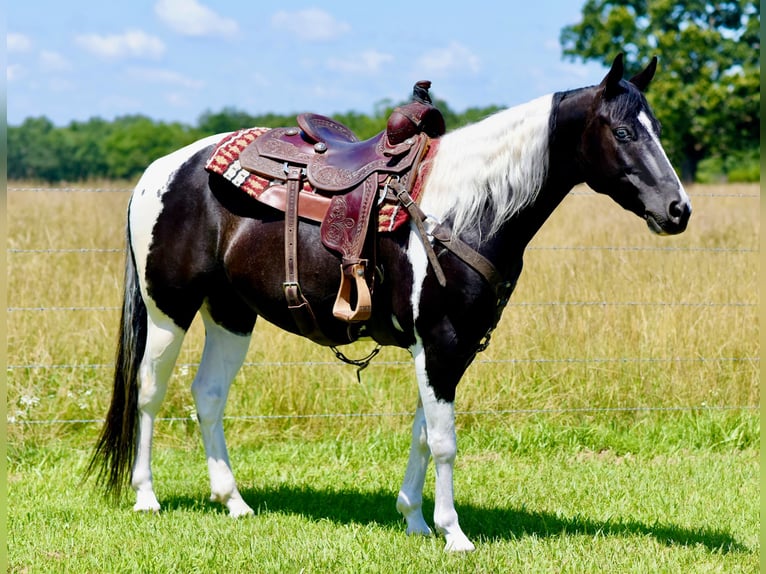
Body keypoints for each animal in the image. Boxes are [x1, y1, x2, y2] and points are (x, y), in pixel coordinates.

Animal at [87, 53, 691, 552]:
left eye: (659, 130)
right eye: (621, 130)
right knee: (149, 391)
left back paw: (234, 501)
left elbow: (423, 434)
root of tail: (159, 171)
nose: (677, 209)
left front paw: (415, 519)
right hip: (169, 309)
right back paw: (146, 496)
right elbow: (444, 442)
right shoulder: (441, 343)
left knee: (208, 395)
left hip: (232, 313)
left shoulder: (447, 349)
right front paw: (453, 534)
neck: (466, 212)